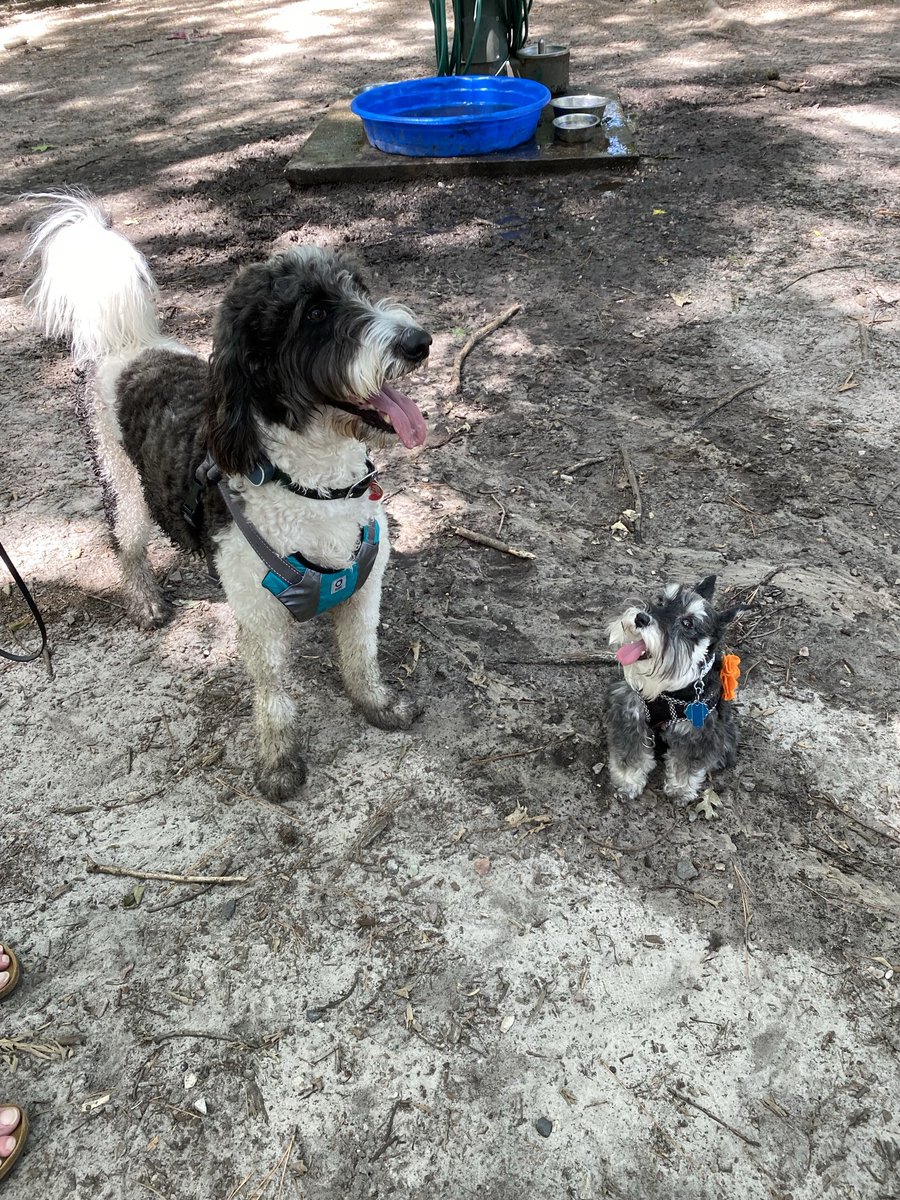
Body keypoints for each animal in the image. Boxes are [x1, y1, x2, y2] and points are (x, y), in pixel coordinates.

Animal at [26, 189, 434, 796]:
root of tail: (133, 345)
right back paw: (145, 599)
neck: (315, 487)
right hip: (125, 486)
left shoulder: (363, 589)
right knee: (126, 543)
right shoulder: (260, 617)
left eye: (359, 288)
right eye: (314, 314)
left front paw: (377, 705)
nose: (419, 343)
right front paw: (279, 761)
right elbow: (273, 694)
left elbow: (361, 656)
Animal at [609, 573, 744, 801]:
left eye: (688, 623)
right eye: (661, 601)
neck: (669, 690)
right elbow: (630, 751)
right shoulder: (631, 712)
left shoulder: (696, 731)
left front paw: (681, 789)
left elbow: (687, 763)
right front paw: (628, 782)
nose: (641, 618)